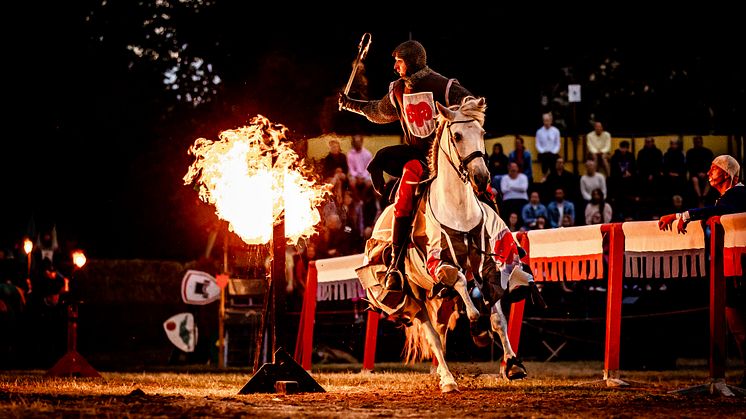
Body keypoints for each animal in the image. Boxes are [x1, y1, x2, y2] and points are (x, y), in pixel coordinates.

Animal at [358, 97, 532, 392]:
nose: (481, 178)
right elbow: (460, 281)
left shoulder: (486, 265)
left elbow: (497, 317)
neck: (458, 211)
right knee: (433, 338)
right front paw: (477, 327)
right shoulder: (440, 264)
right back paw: (448, 380)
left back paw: (444, 373)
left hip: (437, 298)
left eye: (482, 133)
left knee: (439, 331)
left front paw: (512, 364)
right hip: (414, 299)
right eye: (457, 135)